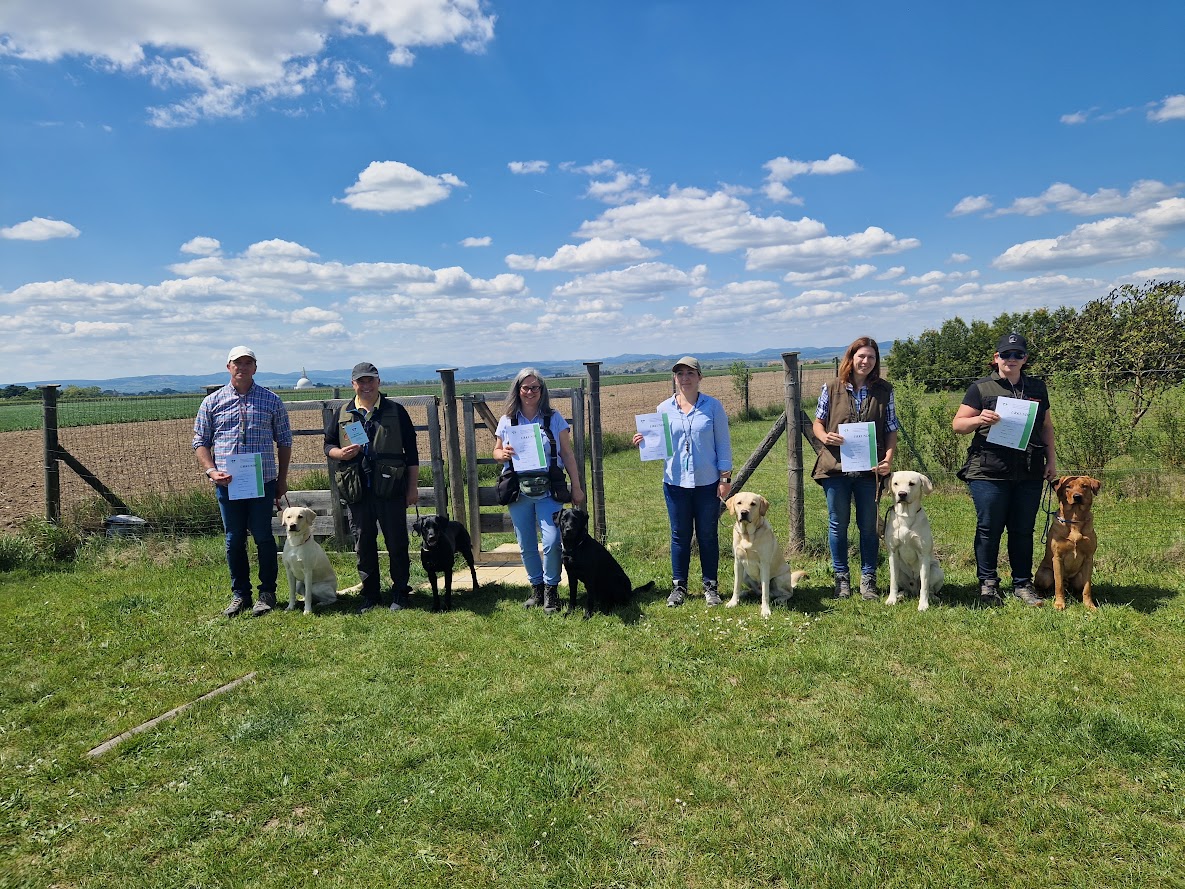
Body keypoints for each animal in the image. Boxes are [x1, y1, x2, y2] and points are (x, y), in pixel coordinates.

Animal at [886, 474, 947, 611]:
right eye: (895, 483)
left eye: (911, 483)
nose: (902, 494)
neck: (906, 516)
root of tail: (914, 590)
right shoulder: (893, 553)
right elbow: (893, 582)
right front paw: (891, 599)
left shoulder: (923, 555)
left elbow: (924, 585)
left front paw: (923, 605)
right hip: (900, 571)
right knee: (905, 587)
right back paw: (901, 594)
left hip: (936, 571)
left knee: (929, 589)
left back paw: (932, 597)